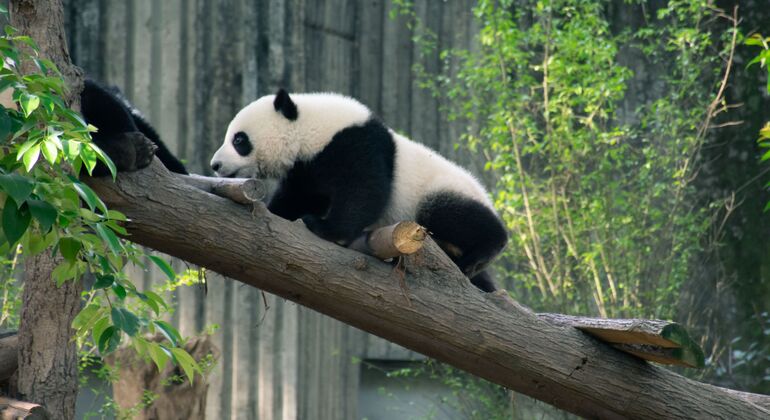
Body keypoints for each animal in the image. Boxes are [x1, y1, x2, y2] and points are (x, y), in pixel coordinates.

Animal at [208, 89, 504, 292]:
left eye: (239, 140)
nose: (215, 165)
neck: (311, 128)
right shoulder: (307, 167)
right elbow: (298, 196)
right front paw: (277, 212)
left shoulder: (355, 144)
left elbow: (365, 191)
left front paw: (326, 229)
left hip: (440, 191)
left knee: (451, 215)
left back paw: (481, 253)